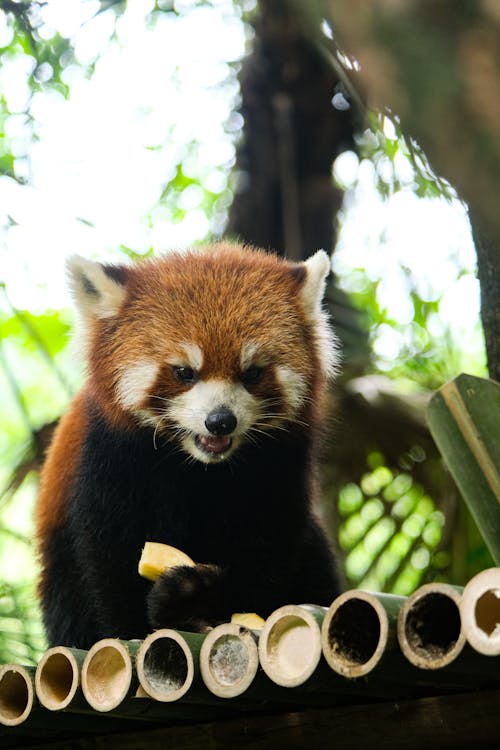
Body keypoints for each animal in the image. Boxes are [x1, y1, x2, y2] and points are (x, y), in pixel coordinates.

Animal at [34, 244, 340, 648]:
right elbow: (112, 562)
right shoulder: (111, 460)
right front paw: (139, 627)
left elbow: (267, 555)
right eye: (184, 373)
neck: (200, 469)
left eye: (252, 373)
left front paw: (196, 595)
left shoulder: (279, 465)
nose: (220, 420)